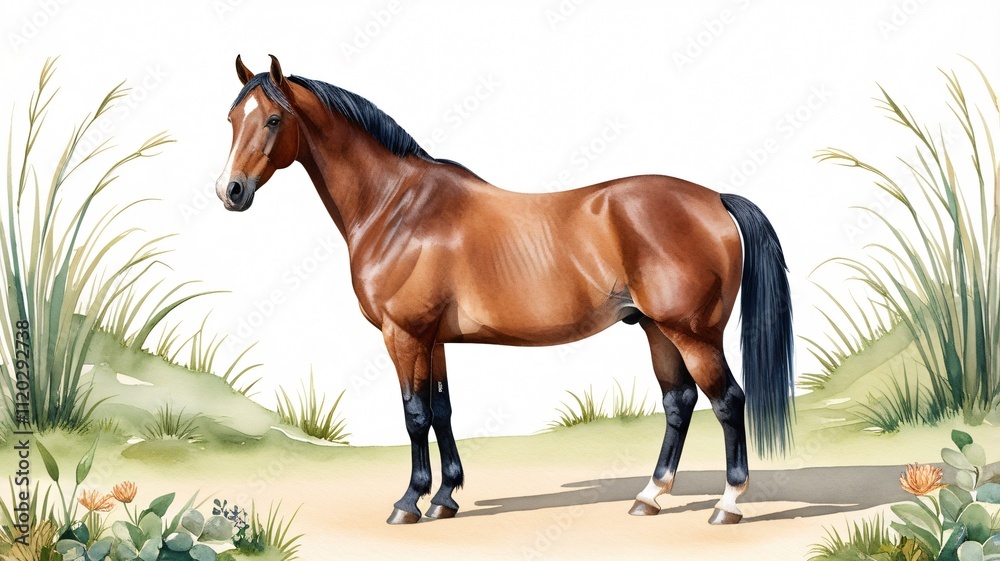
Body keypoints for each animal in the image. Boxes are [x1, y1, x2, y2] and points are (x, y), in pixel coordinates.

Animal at [215, 55, 794, 526]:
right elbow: (442, 411)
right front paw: (445, 497)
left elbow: (414, 415)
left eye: (273, 119)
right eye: (231, 120)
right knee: (679, 402)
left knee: (727, 401)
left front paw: (409, 502)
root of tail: (714, 198)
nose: (230, 191)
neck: (399, 207)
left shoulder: (403, 334)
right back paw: (649, 496)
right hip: (657, 330)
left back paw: (728, 504)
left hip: (693, 334)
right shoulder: (433, 339)